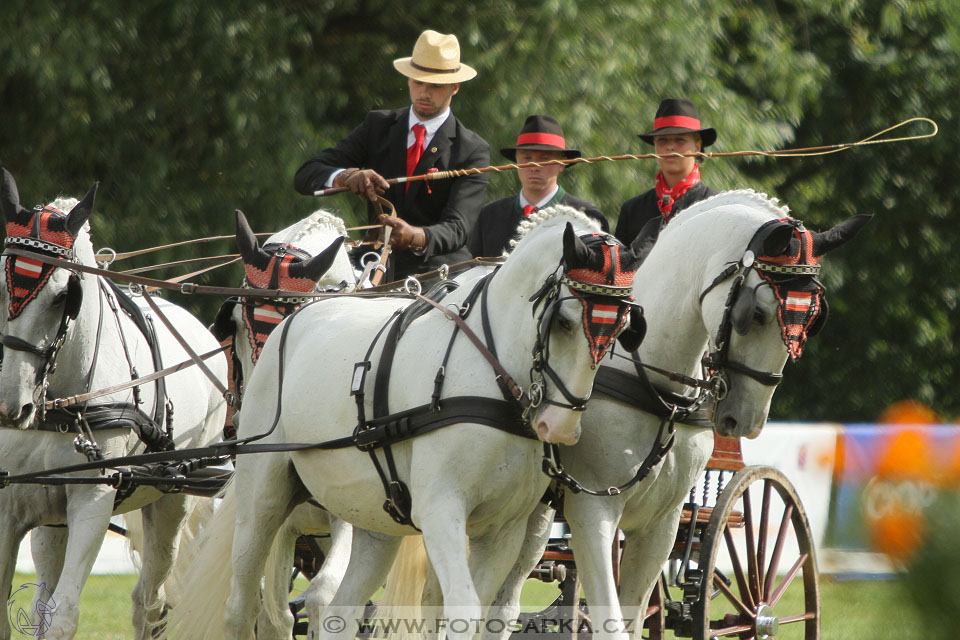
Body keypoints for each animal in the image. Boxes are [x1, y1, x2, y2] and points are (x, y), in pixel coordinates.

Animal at [0, 168, 228, 636]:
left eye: (62, 295)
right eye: (0, 283)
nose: (13, 409)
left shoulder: (93, 499)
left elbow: (65, 615)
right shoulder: (9, 504)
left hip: (172, 499)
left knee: (150, 603)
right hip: (50, 516)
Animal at [165, 208, 648, 636]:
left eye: (620, 326)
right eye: (564, 321)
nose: (560, 428)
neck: (489, 372)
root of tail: (300, 320)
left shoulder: (502, 531)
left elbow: (473, 611)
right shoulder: (440, 509)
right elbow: (461, 610)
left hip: (374, 521)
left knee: (339, 610)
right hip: (263, 503)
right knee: (243, 606)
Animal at [488, 188, 872, 636]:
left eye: (812, 318)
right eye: (756, 314)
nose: (746, 421)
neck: (652, 384)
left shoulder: (663, 522)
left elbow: (632, 615)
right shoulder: (591, 508)